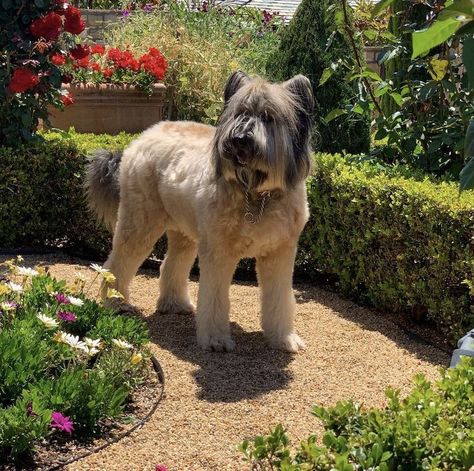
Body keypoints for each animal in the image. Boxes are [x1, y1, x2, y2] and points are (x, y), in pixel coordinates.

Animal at [86, 72, 312, 354]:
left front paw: (283, 338)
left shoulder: (280, 254)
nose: (239, 139)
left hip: (185, 232)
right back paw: (116, 303)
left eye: (268, 117)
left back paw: (174, 303)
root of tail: (143, 136)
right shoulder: (218, 252)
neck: (258, 195)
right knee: (117, 265)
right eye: (240, 113)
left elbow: (280, 298)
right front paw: (216, 339)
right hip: (139, 224)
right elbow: (214, 297)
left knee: (171, 264)